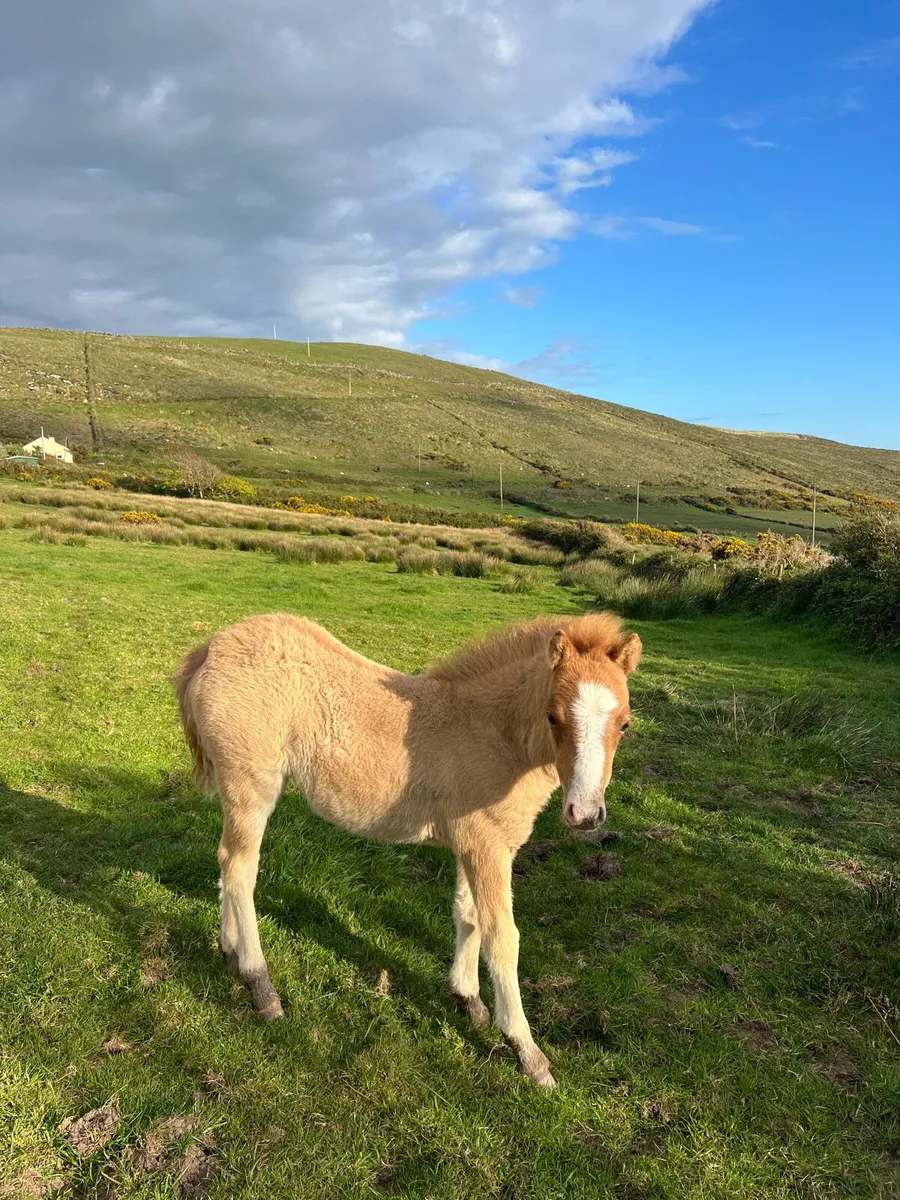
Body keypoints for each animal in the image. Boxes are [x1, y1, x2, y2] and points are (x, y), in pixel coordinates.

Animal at [175, 612, 641, 1087]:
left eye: (625, 723)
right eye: (552, 716)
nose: (585, 813)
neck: (493, 734)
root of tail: (211, 649)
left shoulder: (470, 843)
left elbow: (467, 915)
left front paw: (468, 1000)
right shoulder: (488, 846)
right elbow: (502, 938)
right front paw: (527, 1051)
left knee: (227, 864)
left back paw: (230, 953)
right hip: (251, 785)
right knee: (240, 870)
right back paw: (260, 985)